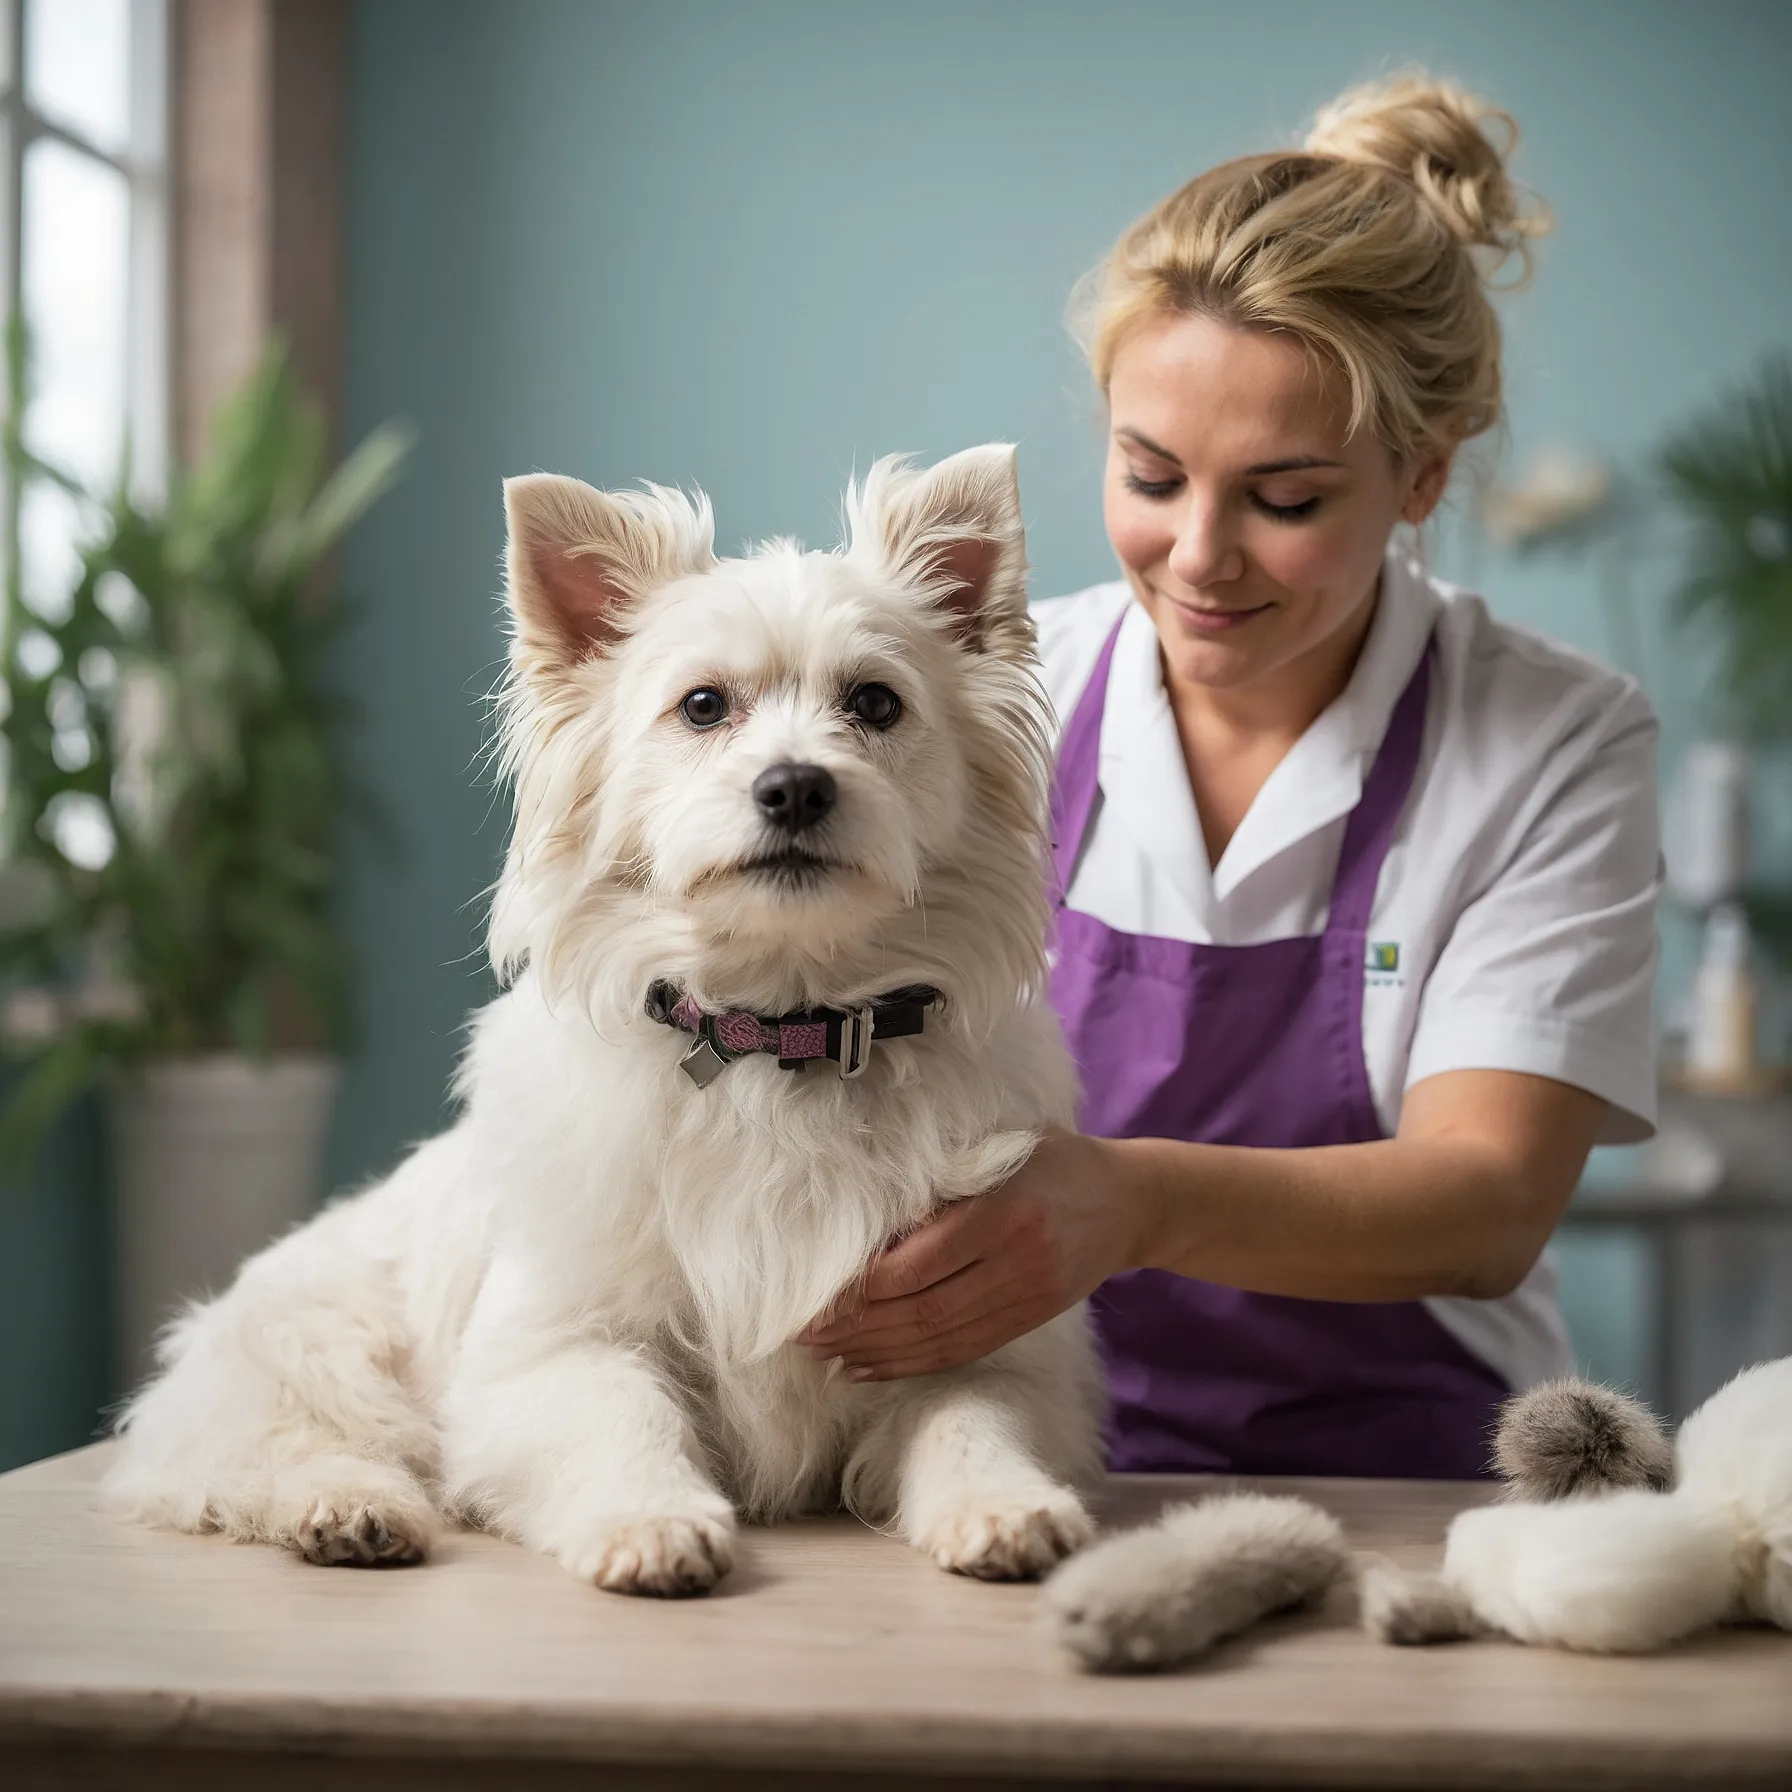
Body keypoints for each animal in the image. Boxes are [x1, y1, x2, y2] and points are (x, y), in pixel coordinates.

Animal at [104, 448, 1103, 1598]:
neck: (781, 1034)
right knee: (250, 1453)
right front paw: (650, 1520)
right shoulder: (557, 1343)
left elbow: (972, 1425)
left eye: (876, 703)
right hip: (318, 1349)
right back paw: (349, 1506)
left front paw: (1006, 1508)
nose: (795, 786)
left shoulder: (975, 1334)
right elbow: (623, 1418)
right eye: (702, 706)